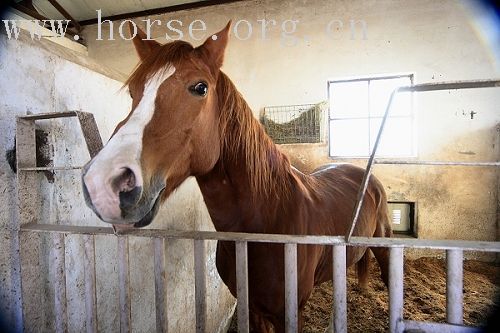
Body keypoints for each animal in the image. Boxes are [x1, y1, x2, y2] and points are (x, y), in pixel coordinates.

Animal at [82, 22, 392, 330]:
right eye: (133, 91)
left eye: (200, 87)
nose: (102, 182)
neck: (269, 219)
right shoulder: (252, 309)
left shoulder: (289, 315)